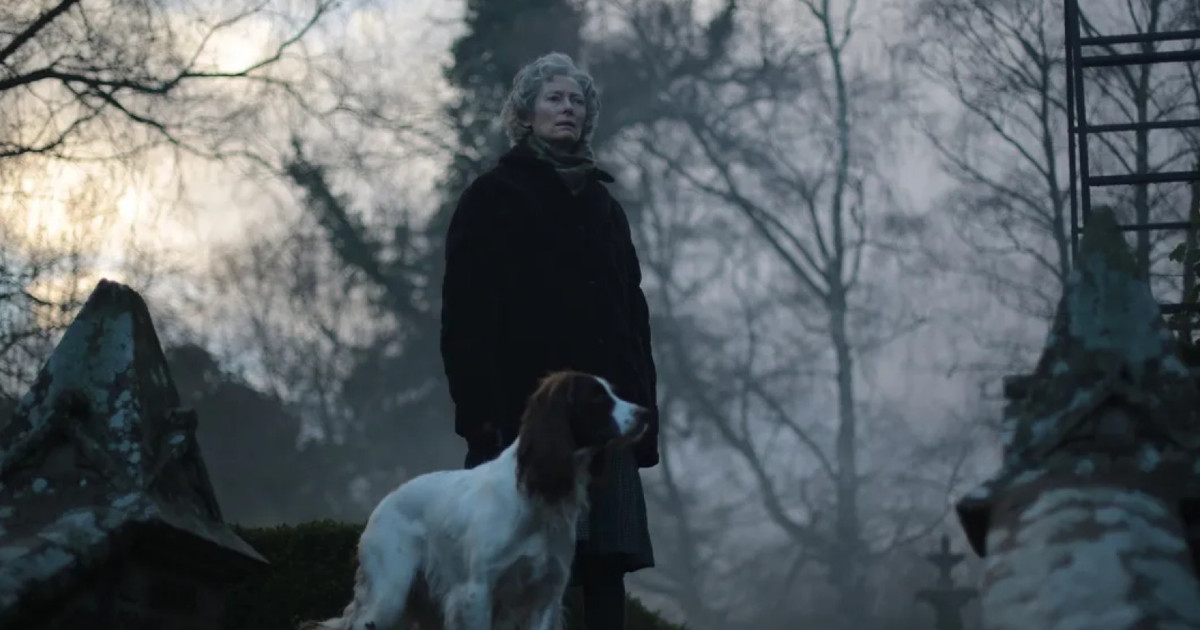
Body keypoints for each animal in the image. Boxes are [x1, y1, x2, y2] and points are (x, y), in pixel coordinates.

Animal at [300, 369, 652, 628]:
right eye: (595, 396)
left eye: (613, 391)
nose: (646, 413)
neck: (533, 500)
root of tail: (383, 503)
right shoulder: (475, 593)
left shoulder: (545, 596)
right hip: (389, 594)